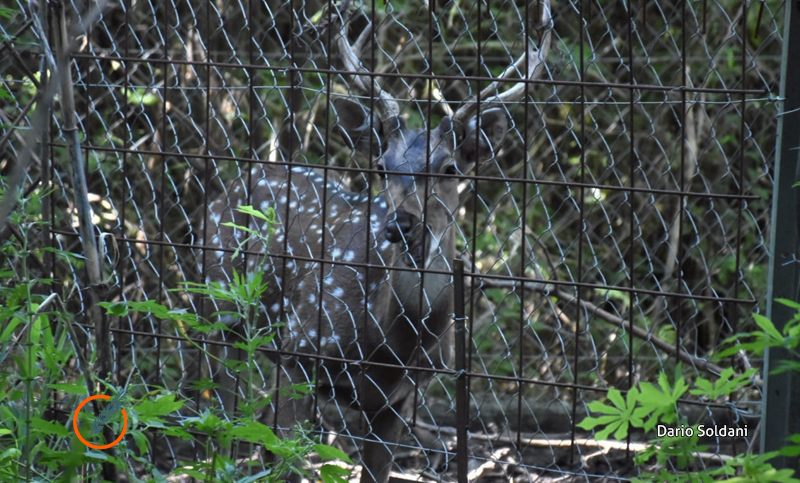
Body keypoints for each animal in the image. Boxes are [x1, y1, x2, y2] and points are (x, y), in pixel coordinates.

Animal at [202, 3, 551, 482]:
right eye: (383, 165)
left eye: (449, 168)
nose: (401, 225)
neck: (389, 346)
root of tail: (230, 184)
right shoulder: (300, 353)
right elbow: (284, 457)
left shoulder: (400, 399)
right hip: (220, 309)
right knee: (223, 418)